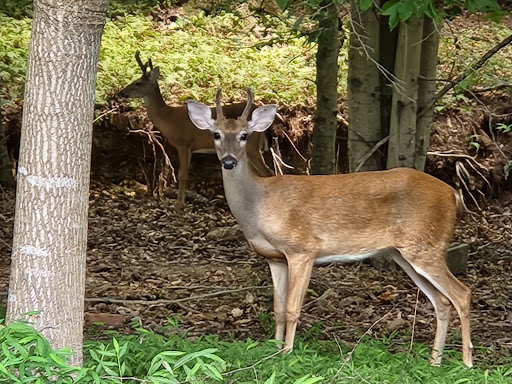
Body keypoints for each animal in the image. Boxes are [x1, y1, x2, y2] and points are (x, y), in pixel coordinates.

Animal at [118, 51, 274, 210]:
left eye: (138, 83)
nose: (121, 92)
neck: (168, 117)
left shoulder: (183, 143)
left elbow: (182, 174)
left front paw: (178, 205)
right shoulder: (190, 147)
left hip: (252, 147)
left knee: (268, 172)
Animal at [186, 88, 474, 368]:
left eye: (244, 135)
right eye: (216, 134)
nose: (229, 162)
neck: (258, 206)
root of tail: (453, 194)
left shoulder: (303, 249)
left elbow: (292, 308)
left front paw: (286, 353)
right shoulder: (274, 258)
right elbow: (278, 309)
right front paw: (273, 350)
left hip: (427, 246)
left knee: (462, 294)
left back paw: (467, 361)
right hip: (404, 253)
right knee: (442, 302)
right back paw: (434, 362)